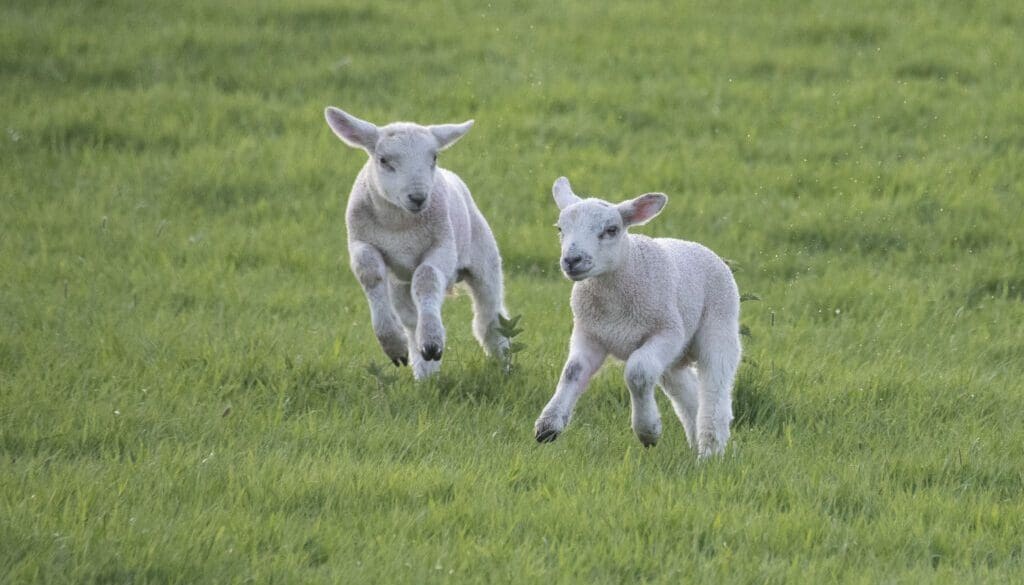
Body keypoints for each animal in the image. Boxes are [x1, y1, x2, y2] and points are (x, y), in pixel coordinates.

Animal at [324, 106, 509, 379]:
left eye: (434, 157)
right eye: (383, 160)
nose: (418, 197)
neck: (399, 226)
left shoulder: (443, 247)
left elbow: (427, 278)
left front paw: (432, 340)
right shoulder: (361, 242)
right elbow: (369, 273)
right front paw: (396, 344)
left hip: (484, 258)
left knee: (489, 317)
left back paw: (505, 360)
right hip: (399, 283)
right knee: (411, 321)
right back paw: (424, 370)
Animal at [533, 177, 741, 458]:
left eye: (611, 230)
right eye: (560, 229)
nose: (572, 260)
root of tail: (699, 247)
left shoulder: (667, 330)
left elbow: (637, 373)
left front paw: (648, 431)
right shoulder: (590, 333)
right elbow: (572, 371)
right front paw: (549, 425)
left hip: (718, 326)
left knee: (715, 390)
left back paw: (710, 451)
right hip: (673, 359)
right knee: (686, 392)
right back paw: (696, 443)